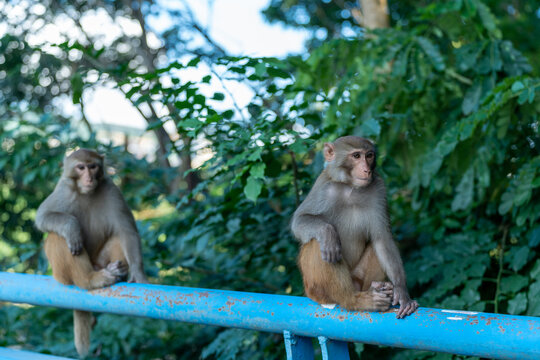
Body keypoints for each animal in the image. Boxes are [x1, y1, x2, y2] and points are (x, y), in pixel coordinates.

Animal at [35, 148, 148, 358]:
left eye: (93, 166)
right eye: (81, 167)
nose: (88, 177)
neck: (85, 192)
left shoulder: (111, 190)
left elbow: (126, 231)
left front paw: (138, 272)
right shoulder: (63, 190)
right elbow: (43, 216)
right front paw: (72, 227)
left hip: (100, 260)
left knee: (118, 236)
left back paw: (116, 270)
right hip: (61, 274)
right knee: (58, 237)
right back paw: (89, 279)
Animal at [292, 136, 418, 320]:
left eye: (369, 155)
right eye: (356, 156)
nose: (366, 170)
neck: (351, 188)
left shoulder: (378, 189)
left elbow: (382, 239)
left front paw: (402, 291)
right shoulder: (323, 187)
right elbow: (299, 220)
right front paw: (327, 232)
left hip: (357, 278)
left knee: (375, 246)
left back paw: (376, 288)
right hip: (315, 289)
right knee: (319, 243)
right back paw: (354, 300)